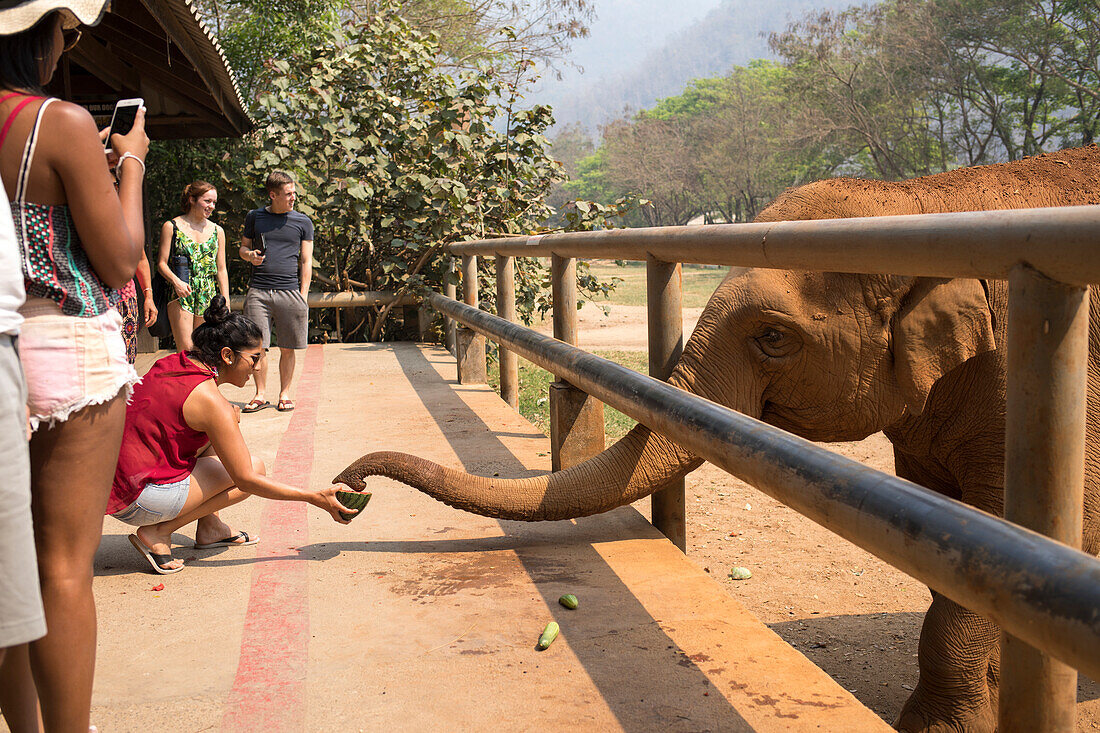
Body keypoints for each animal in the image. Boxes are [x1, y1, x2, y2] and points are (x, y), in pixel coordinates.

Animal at [336, 145, 1100, 726]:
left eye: (773, 337)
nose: (349, 486)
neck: (926, 206)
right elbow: (953, 552)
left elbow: (1001, 550)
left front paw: (937, 727)